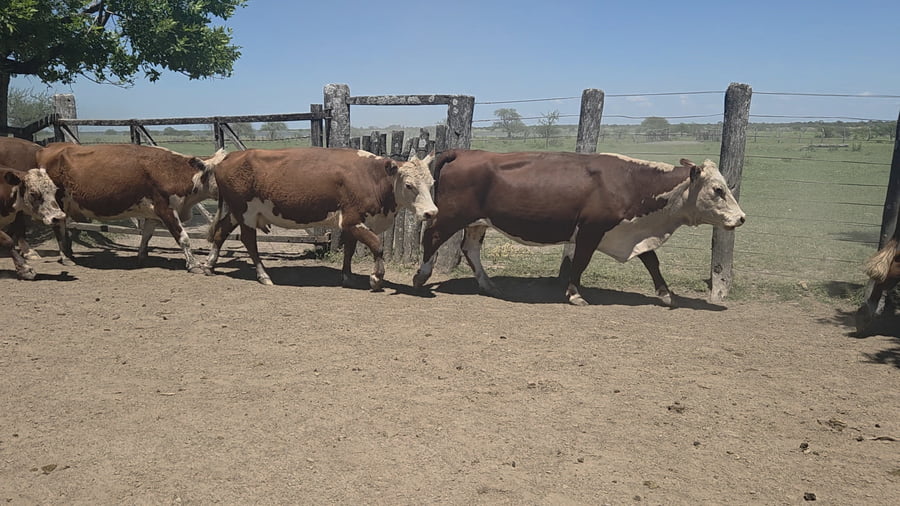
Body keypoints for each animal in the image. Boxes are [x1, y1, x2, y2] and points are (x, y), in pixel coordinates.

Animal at [35, 143, 225, 273]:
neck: (174, 172)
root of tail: (51, 147)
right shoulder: (166, 210)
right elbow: (183, 238)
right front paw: (194, 264)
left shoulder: (153, 214)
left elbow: (146, 235)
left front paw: (141, 257)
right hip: (57, 201)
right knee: (58, 227)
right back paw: (66, 257)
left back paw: (69, 253)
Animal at [204, 147, 437, 290]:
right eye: (409, 185)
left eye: (432, 183)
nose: (431, 212)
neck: (371, 177)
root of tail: (229, 157)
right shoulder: (352, 220)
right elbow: (376, 245)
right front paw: (376, 278)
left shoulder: (352, 224)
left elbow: (349, 250)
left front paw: (348, 277)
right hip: (246, 213)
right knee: (249, 241)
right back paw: (264, 276)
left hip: (236, 212)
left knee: (221, 231)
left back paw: (209, 265)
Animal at [413, 149, 746, 305]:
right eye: (718, 189)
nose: (741, 218)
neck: (630, 182)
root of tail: (464, 151)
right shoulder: (590, 230)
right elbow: (581, 262)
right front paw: (574, 294)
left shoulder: (632, 231)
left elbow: (651, 261)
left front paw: (666, 294)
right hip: (451, 216)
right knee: (431, 238)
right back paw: (421, 276)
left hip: (478, 222)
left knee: (470, 249)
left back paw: (488, 284)